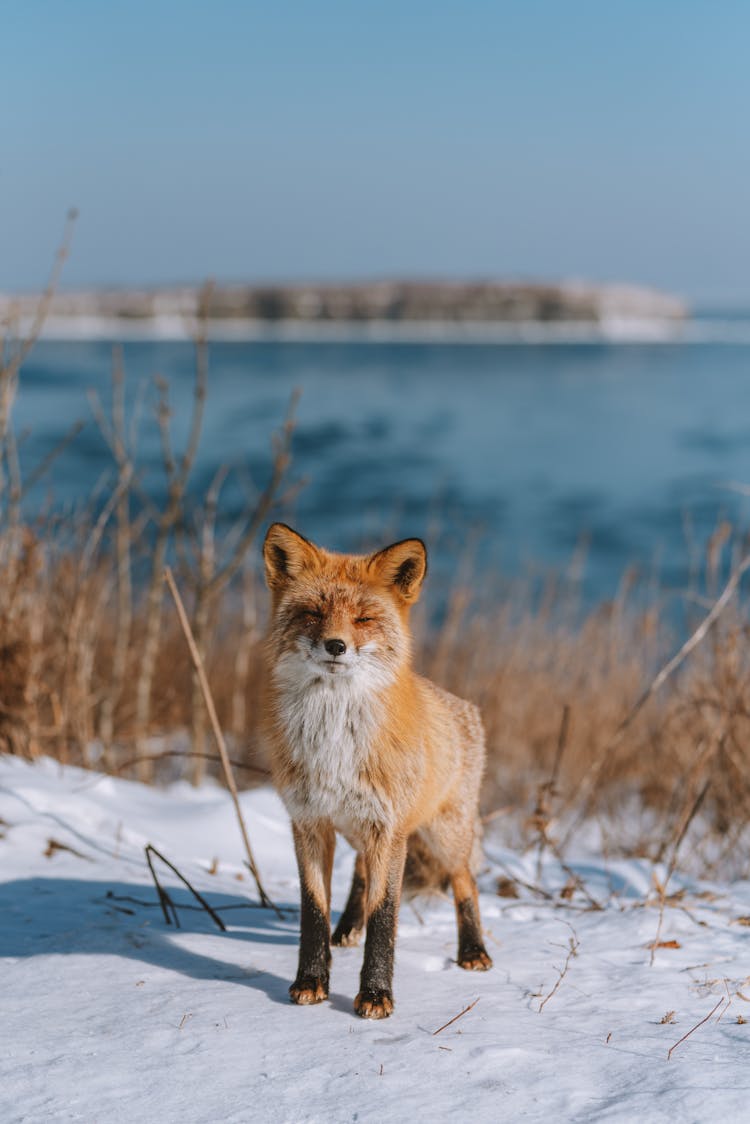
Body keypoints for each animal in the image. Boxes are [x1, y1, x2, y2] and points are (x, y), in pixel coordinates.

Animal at [263, 523, 492, 1020]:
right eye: (313, 613)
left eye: (364, 619)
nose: (336, 645)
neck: (334, 741)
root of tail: (464, 707)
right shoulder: (309, 822)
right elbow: (313, 910)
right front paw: (311, 981)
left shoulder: (388, 829)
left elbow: (385, 916)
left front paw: (374, 995)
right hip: (357, 830)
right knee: (360, 873)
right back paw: (348, 928)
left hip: (443, 836)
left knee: (465, 881)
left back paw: (473, 951)